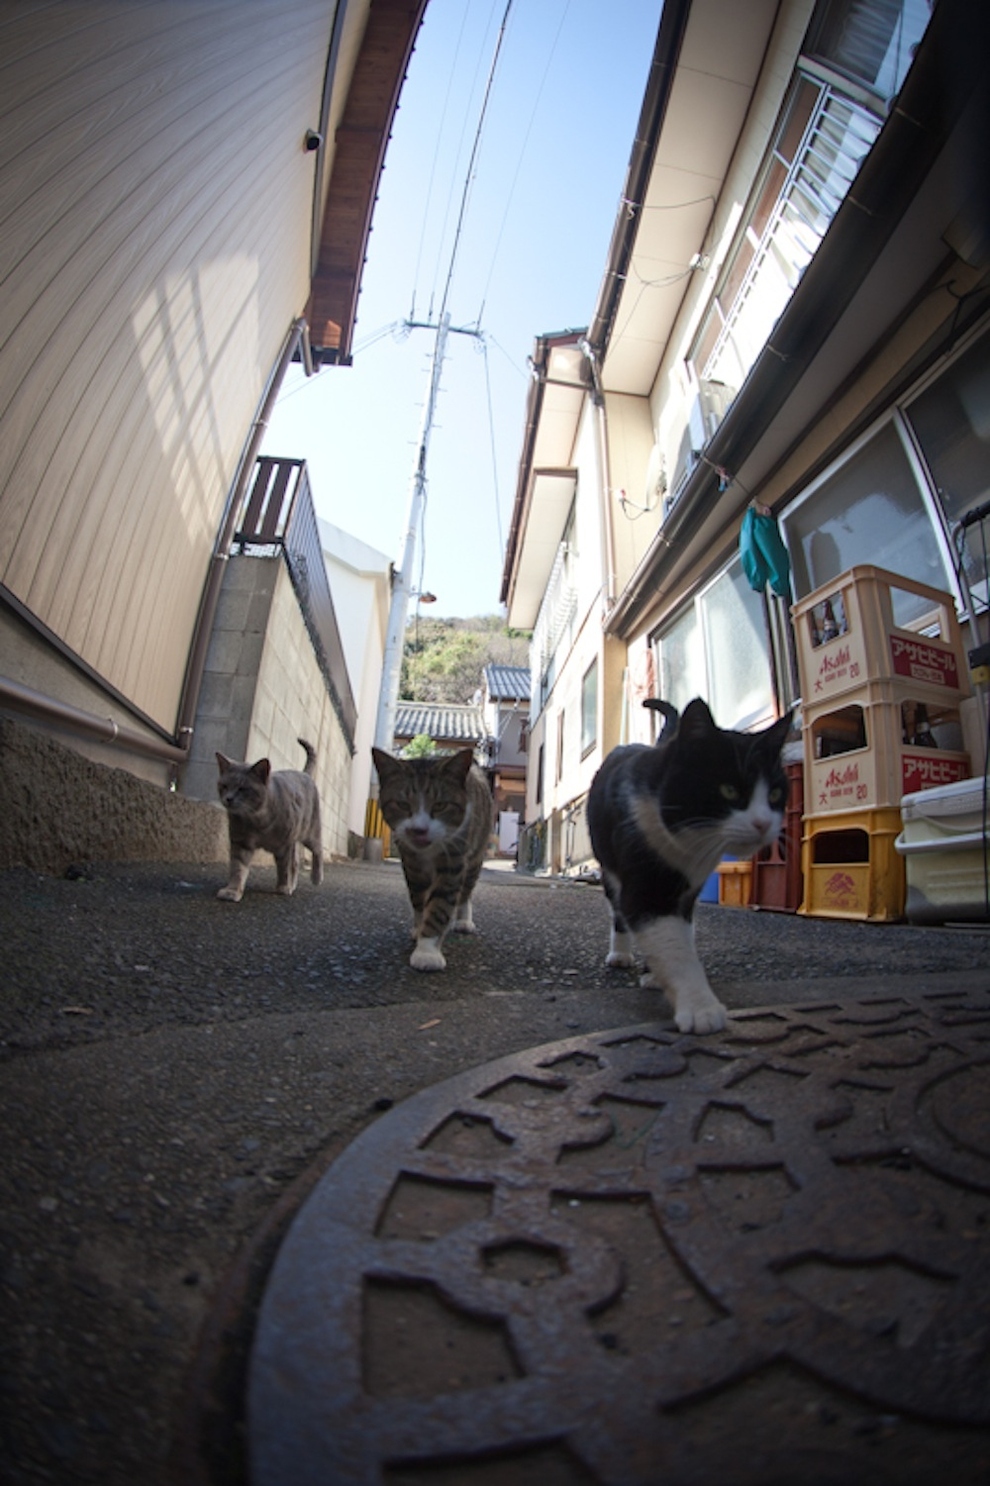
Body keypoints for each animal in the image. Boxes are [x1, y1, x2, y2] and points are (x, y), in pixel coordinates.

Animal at [214, 734, 322, 897]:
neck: (257, 820)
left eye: (242, 788)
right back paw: (293, 884)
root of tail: (304, 773)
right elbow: (237, 868)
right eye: (224, 786)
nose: (228, 798)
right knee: (296, 863)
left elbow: (284, 869)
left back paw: (316, 878)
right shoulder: (241, 843)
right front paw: (232, 890)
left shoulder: (284, 846)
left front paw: (283, 887)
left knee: (317, 850)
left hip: (310, 833)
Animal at [370, 748, 493, 968]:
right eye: (402, 804)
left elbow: (440, 906)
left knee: (465, 892)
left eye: (441, 805)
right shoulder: (412, 864)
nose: (419, 830)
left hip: (476, 854)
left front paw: (427, 952)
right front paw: (420, 930)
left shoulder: (454, 860)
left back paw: (462, 920)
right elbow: (419, 899)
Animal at [585, 698, 784, 1034]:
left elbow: (681, 935)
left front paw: (658, 974)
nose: (763, 824)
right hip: (610, 868)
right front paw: (701, 1008)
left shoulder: (690, 889)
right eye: (729, 790)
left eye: (775, 794)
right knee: (619, 911)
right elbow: (671, 944)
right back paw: (620, 954)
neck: (689, 843)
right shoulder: (648, 883)